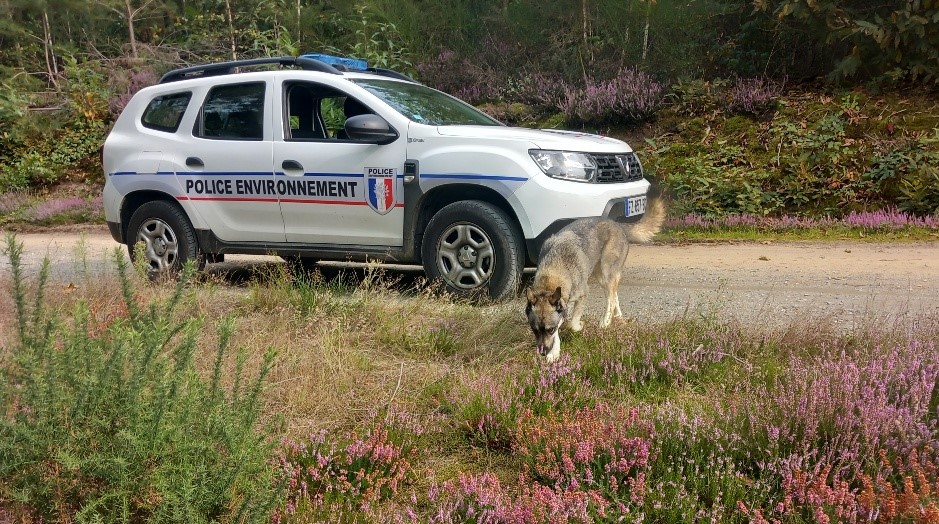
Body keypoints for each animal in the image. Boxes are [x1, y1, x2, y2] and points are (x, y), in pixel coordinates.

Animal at [520, 199, 668, 362]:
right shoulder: (561, 306)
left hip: (606, 273)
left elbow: (572, 324)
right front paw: (554, 353)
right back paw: (618, 317)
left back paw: (606, 322)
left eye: (550, 329)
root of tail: (616, 224)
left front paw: (579, 326)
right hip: (601, 276)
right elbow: (561, 325)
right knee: (614, 296)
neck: (553, 273)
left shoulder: (582, 294)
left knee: (610, 298)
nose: (542, 352)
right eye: (534, 330)